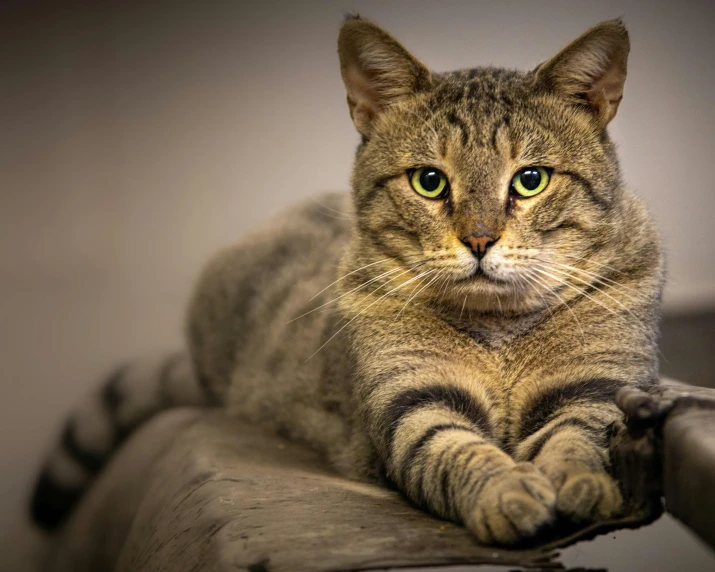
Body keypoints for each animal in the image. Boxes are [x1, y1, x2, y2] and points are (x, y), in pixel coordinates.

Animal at [30, 15, 664, 544]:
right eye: (429, 181)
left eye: (531, 179)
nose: (480, 240)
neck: (499, 332)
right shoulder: (413, 402)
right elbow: (459, 451)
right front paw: (508, 491)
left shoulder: (596, 389)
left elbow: (577, 442)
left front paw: (582, 486)